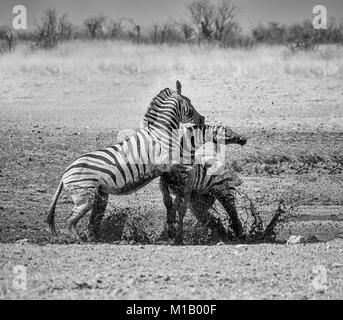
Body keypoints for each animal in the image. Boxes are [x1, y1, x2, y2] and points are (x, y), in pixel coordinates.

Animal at [47, 81, 206, 241]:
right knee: (70, 221)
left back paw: (97, 240)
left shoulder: (165, 167)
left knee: (92, 221)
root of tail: (65, 174)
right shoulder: (166, 162)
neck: (162, 132)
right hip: (85, 197)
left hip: (99, 195)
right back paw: (82, 241)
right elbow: (191, 169)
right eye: (190, 102)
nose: (203, 119)